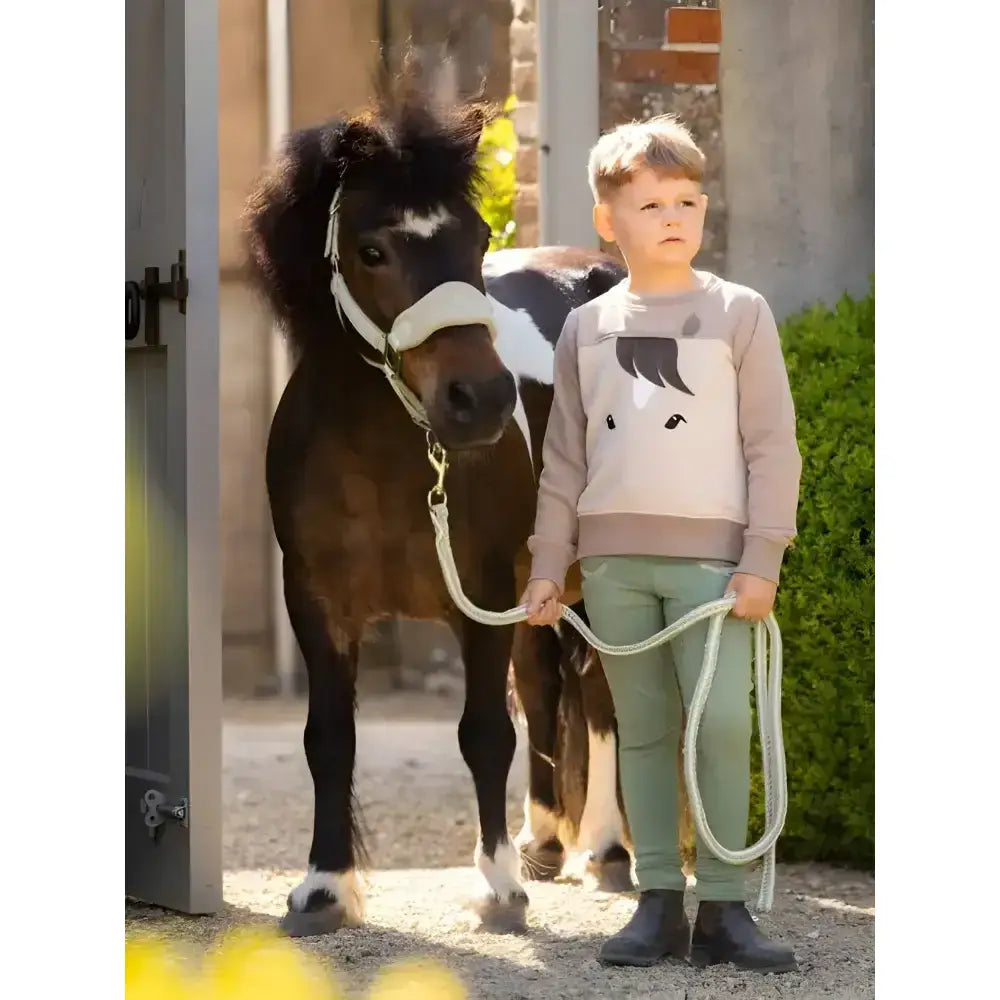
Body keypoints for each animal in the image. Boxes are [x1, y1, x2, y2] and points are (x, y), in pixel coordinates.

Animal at [243, 85, 630, 938]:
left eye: (477, 237)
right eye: (372, 251)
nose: (480, 400)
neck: (382, 457)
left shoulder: (477, 594)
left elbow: (484, 734)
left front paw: (498, 892)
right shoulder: (315, 602)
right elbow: (330, 738)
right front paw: (324, 888)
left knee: (601, 695)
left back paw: (607, 849)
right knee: (547, 684)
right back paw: (544, 843)